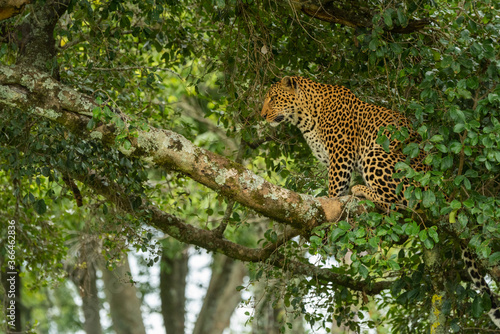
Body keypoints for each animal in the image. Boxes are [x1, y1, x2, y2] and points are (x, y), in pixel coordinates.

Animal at [260, 75, 500, 328]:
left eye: (273, 98)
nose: (262, 115)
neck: (306, 115)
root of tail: (440, 187)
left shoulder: (340, 156)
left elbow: (334, 190)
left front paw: (326, 222)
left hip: (378, 155)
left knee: (398, 202)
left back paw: (362, 190)